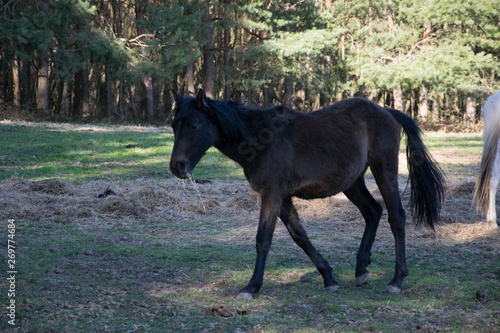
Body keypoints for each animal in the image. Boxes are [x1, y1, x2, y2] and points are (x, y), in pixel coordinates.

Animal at [169, 89, 446, 298]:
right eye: (173, 125)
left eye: (194, 124)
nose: (177, 166)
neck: (260, 139)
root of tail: (387, 112)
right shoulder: (282, 198)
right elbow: (299, 235)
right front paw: (329, 277)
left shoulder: (271, 194)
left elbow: (263, 239)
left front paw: (252, 286)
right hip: (352, 182)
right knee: (373, 212)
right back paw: (361, 269)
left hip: (383, 170)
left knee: (396, 216)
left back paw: (396, 279)